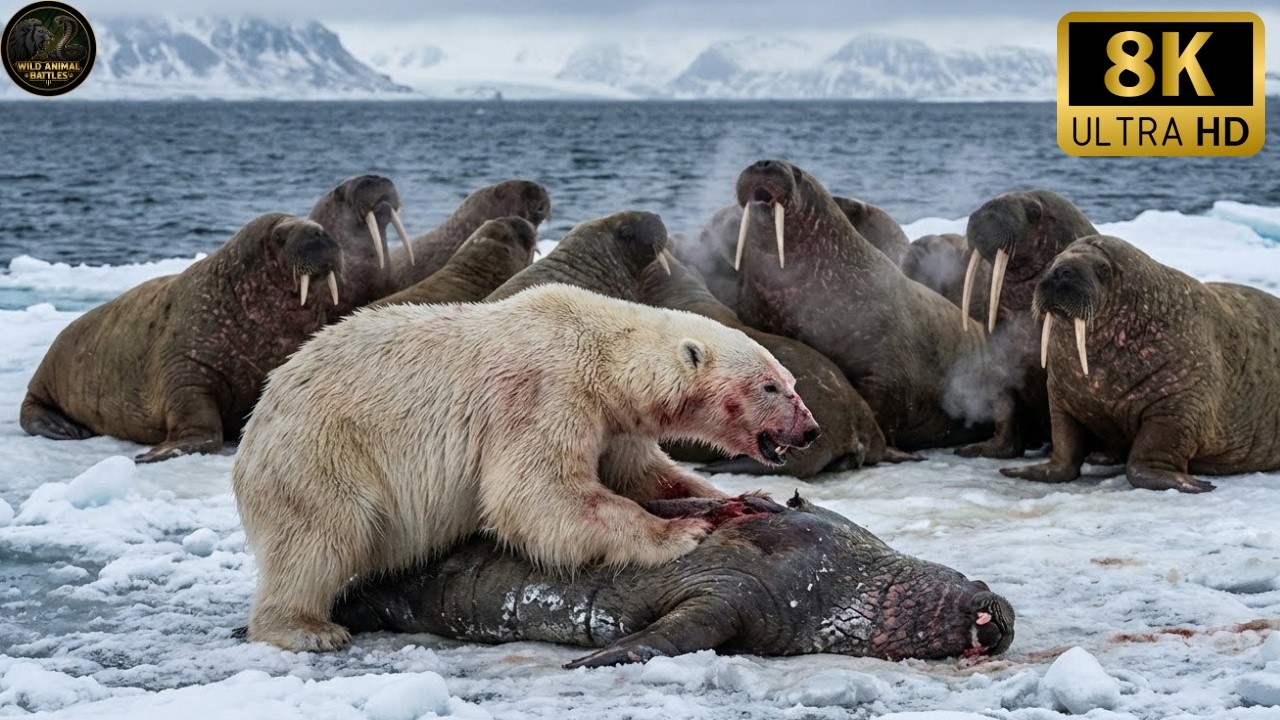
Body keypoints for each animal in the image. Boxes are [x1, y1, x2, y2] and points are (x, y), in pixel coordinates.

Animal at [232, 282, 820, 652]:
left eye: (792, 381)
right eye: (770, 386)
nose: (810, 429)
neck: (601, 351)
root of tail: (256, 419)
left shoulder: (614, 422)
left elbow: (640, 473)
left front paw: (739, 501)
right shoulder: (545, 393)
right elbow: (536, 492)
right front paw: (680, 532)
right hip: (320, 453)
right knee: (320, 536)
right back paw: (308, 628)